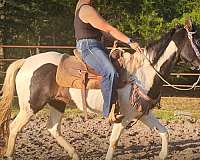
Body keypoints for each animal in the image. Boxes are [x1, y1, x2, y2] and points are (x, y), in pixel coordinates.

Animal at [1, 18, 200, 159]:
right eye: (197, 41)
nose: (199, 64)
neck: (142, 73)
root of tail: (26, 61)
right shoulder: (123, 116)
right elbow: (113, 142)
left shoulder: (142, 112)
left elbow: (164, 132)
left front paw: (162, 155)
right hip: (30, 106)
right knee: (14, 127)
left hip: (57, 103)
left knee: (53, 128)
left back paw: (75, 154)